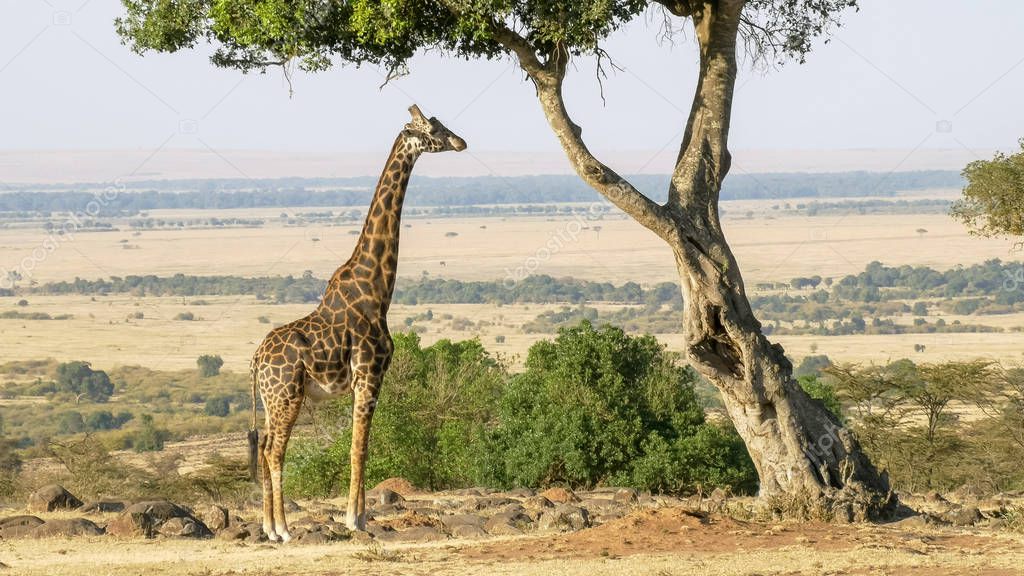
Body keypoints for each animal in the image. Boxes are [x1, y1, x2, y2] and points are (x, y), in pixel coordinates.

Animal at [249, 105, 466, 541]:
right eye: (434, 129)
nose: (461, 141)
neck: (377, 289)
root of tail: (255, 361)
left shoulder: (363, 380)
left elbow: (358, 443)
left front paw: (361, 516)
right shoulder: (370, 372)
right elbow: (359, 446)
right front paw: (355, 519)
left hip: (271, 398)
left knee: (264, 446)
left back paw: (267, 527)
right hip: (287, 395)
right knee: (275, 450)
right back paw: (282, 529)